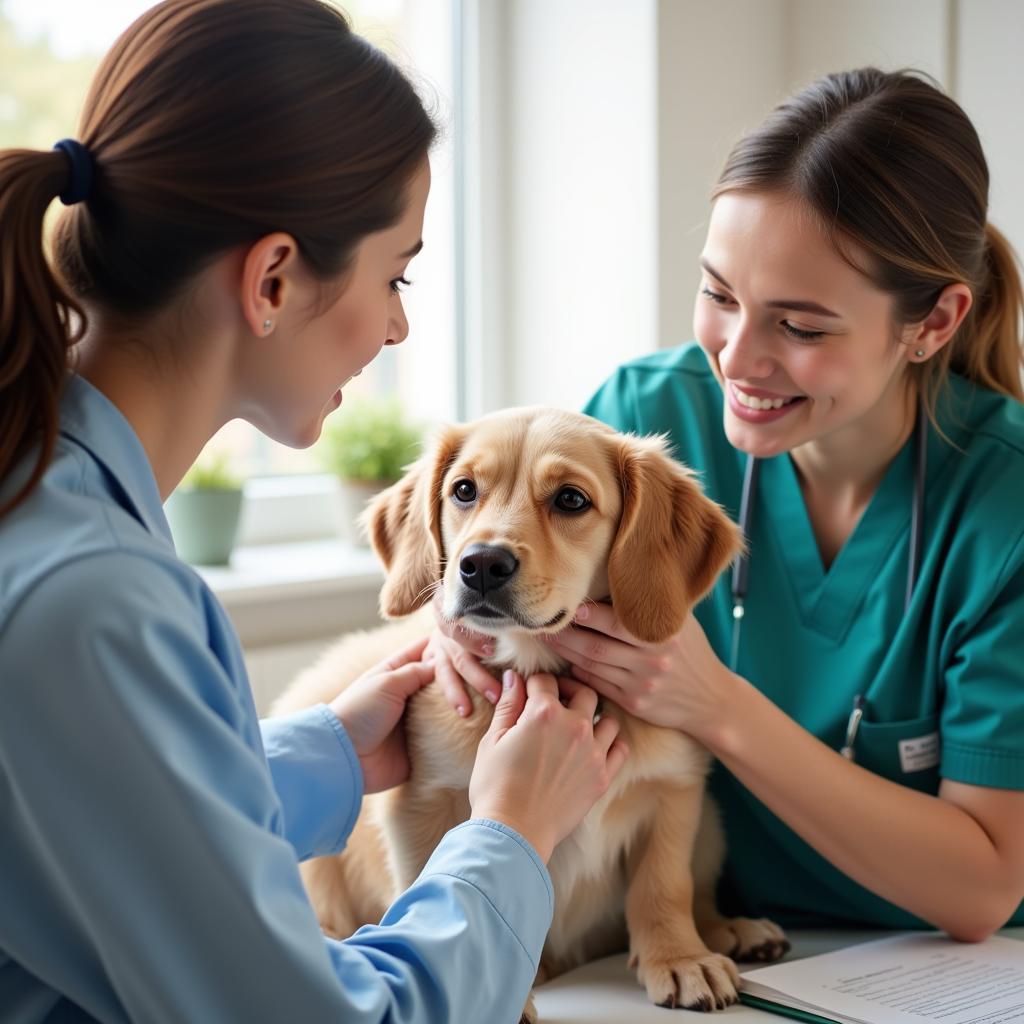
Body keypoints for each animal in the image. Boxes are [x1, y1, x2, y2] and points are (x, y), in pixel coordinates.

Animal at [274, 407, 790, 1015]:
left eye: (570, 499)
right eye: (464, 490)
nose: (480, 564)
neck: (541, 669)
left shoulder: (675, 789)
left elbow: (664, 885)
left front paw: (680, 957)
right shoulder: (422, 804)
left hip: (710, 825)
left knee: (699, 890)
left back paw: (728, 929)